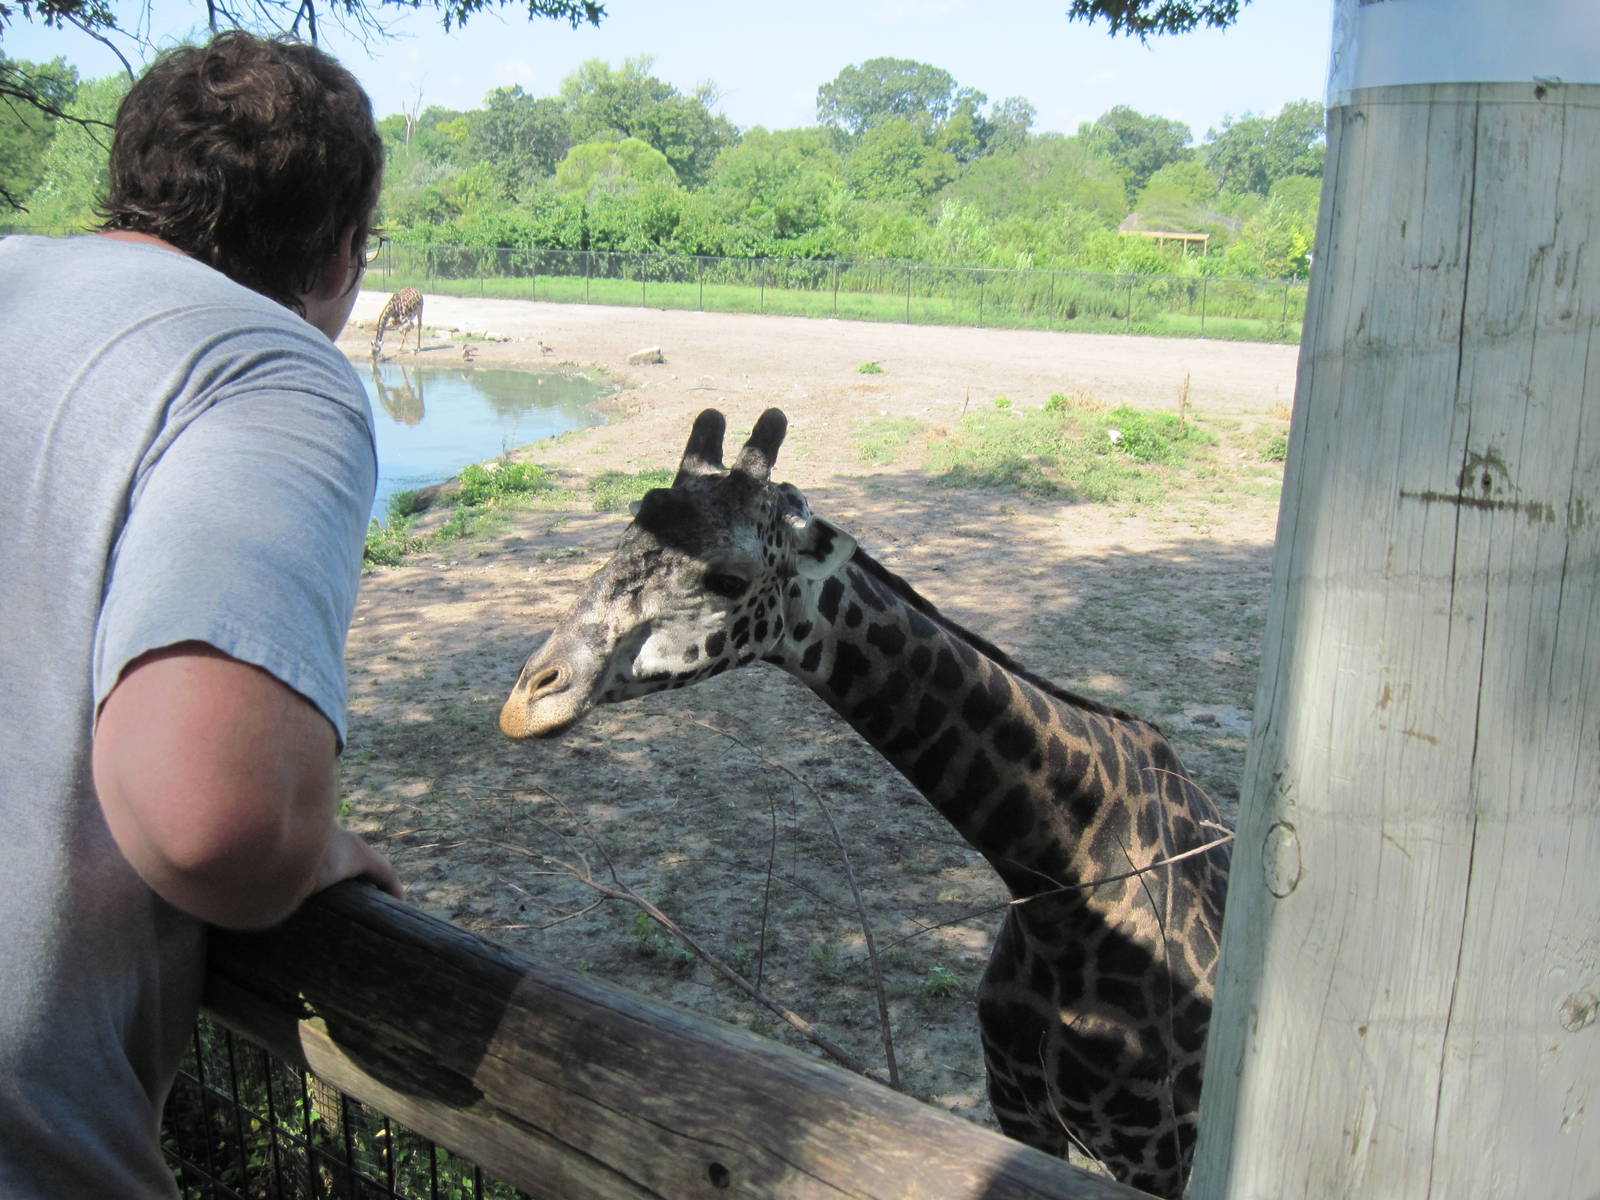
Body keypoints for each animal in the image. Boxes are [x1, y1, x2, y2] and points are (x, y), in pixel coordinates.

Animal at [498, 408, 1231, 1198]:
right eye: (625, 534)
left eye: (728, 577)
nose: (528, 704)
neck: (1061, 878)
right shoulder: (1018, 1109)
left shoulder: (1155, 1148)